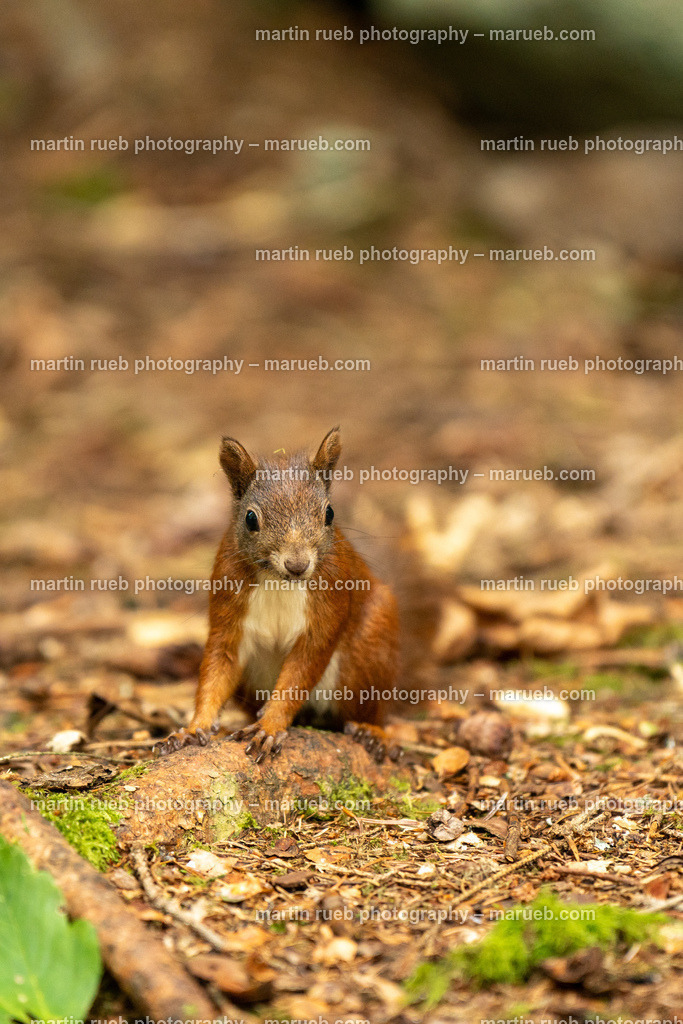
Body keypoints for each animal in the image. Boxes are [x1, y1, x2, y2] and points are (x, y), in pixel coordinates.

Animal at [157, 427, 400, 763]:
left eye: (329, 513)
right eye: (250, 518)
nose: (297, 565)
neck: (278, 581)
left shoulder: (328, 605)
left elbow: (300, 672)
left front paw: (270, 726)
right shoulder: (227, 607)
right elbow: (217, 669)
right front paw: (194, 728)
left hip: (370, 648)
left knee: (371, 711)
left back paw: (373, 732)